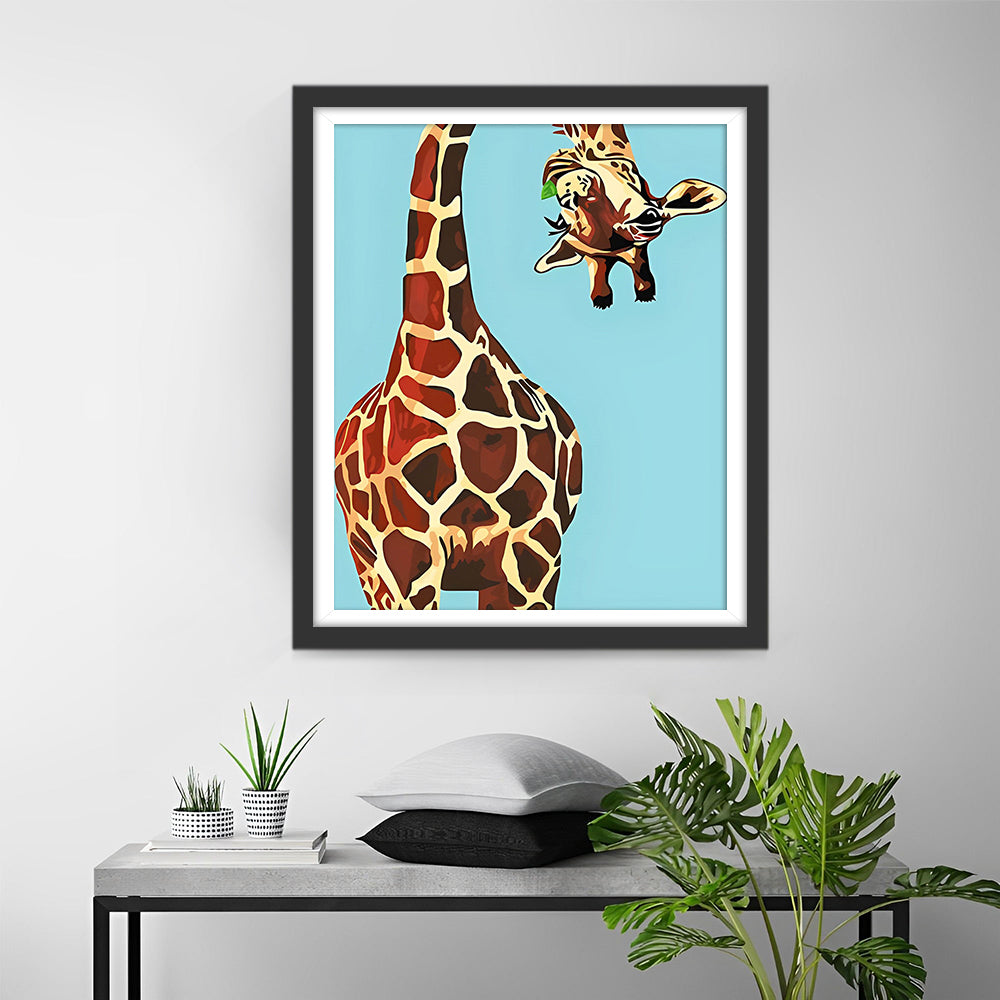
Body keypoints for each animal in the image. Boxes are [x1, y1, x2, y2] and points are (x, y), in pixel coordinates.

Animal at [535, 124, 727, 308]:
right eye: (568, 203)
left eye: (630, 172)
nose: (648, 215)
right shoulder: (597, 256)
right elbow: (601, 291)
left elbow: (644, 283)